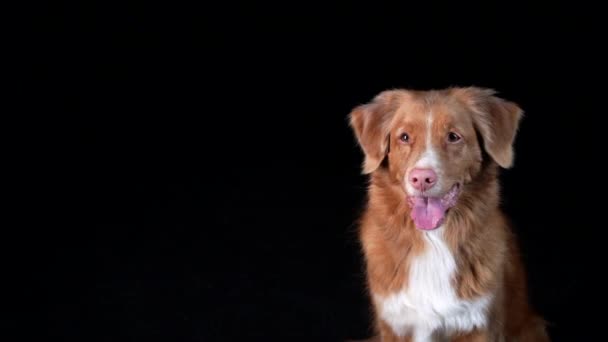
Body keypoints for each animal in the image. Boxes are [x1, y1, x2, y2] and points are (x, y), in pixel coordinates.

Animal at [346, 87, 552, 340]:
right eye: (404, 137)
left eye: (453, 136)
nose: (421, 178)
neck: (432, 240)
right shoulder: (394, 324)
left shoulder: (479, 324)